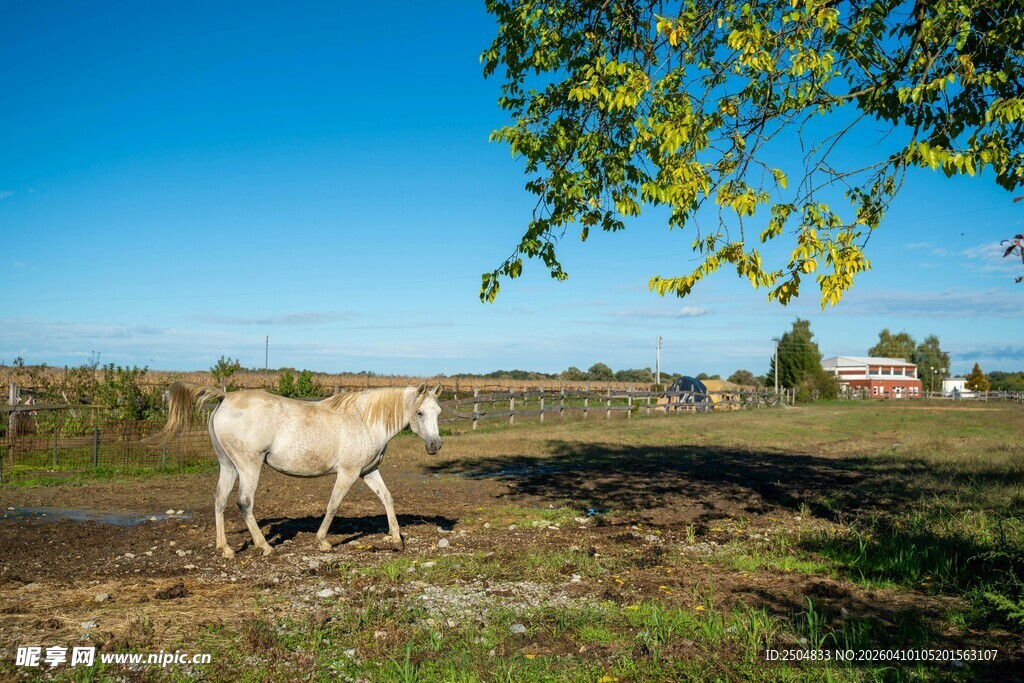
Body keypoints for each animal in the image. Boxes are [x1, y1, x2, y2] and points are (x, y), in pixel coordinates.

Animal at [150, 381, 442, 558]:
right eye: (420, 413)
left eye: (438, 411)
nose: (435, 445)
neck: (364, 420)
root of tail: (225, 397)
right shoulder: (348, 473)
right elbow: (333, 505)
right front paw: (322, 541)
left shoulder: (367, 472)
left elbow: (387, 498)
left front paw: (396, 539)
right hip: (249, 466)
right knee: (244, 503)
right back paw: (265, 546)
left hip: (228, 465)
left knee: (220, 500)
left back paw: (226, 549)